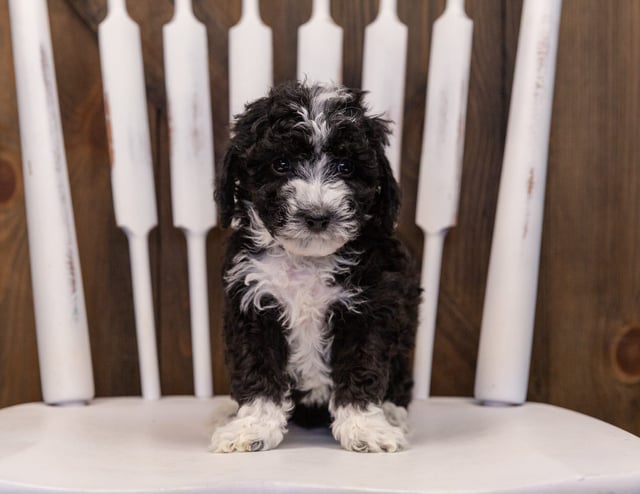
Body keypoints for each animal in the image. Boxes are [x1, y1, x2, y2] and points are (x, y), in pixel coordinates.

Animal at [210, 82, 420, 456]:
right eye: (280, 164)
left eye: (346, 167)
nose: (318, 216)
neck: (306, 260)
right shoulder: (252, 306)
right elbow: (256, 370)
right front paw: (251, 428)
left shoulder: (371, 309)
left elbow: (362, 366)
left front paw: (365, 427)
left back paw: (393, 413)